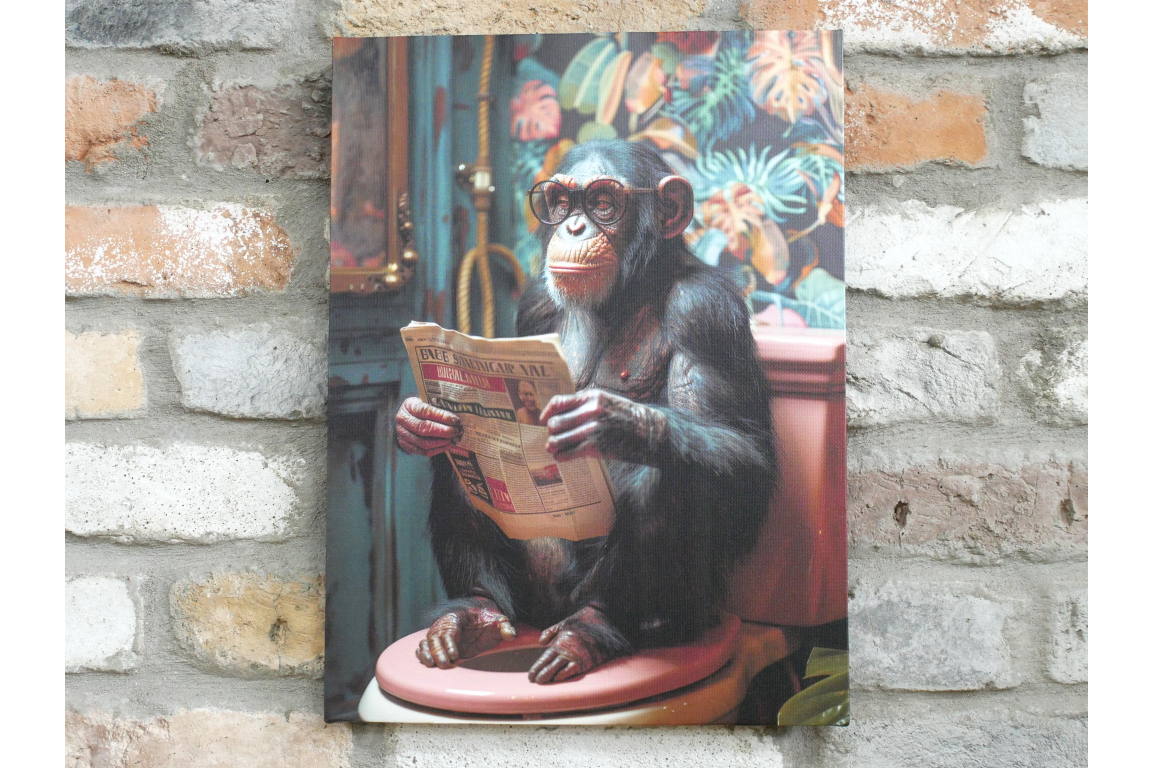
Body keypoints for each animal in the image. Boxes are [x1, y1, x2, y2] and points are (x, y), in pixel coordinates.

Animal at [395, 140, 777, 683]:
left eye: (602, 202)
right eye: (558, 202)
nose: (573, 227)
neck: (629, 290)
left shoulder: (708, 313)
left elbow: (747, 455)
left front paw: (615, 421)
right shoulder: (533, 305)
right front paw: (415, 420)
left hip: (681, 610)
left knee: (673, 475)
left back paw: (592, 629)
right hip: (532, 590)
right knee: (460, 458)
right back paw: (473, 611)